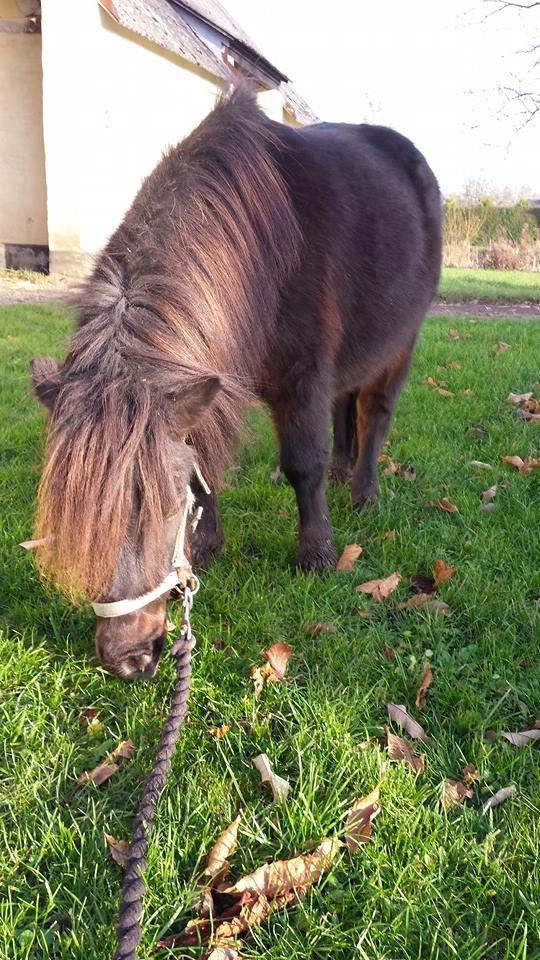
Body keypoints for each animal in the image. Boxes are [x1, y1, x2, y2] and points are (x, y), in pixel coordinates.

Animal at [31, 86, 440, 680]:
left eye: (164, 506)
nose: (128, 659)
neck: (263, 245)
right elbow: (205, 458)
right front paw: (208, 545)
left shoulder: (302, 376)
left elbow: (303, 463)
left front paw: (316, 554)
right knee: (345, 406)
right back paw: (344, 474)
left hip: (400, 342)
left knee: (374, 413)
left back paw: (363, 493)